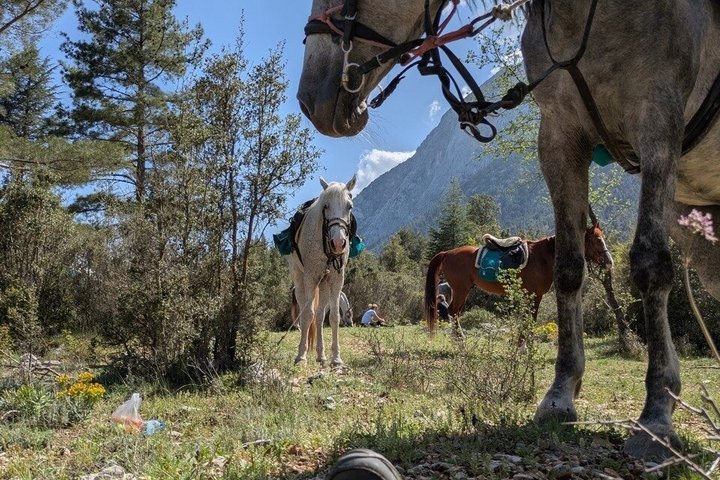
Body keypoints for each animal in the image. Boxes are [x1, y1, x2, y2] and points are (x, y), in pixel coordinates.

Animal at [290, 175, 357, 366]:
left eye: (349, 206)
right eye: (325, 206)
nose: (338, 243)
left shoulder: (336, 280)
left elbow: (333, 317)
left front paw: (336, 358)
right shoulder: (310, 278)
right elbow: (307, 315)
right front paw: (301, 357)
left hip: (324, 285)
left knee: (319, 316)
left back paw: (321, 355)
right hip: (299, 280)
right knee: (305, 313)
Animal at [424, 223, 613, 327]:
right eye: (597, 240)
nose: (609, 261)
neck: (544, 257)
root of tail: (448, 253)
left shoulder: (531, 295)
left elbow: (528, 319)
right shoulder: (534, 295)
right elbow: (530, 319)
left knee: (454, 313)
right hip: (461, 290)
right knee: (453, 312)